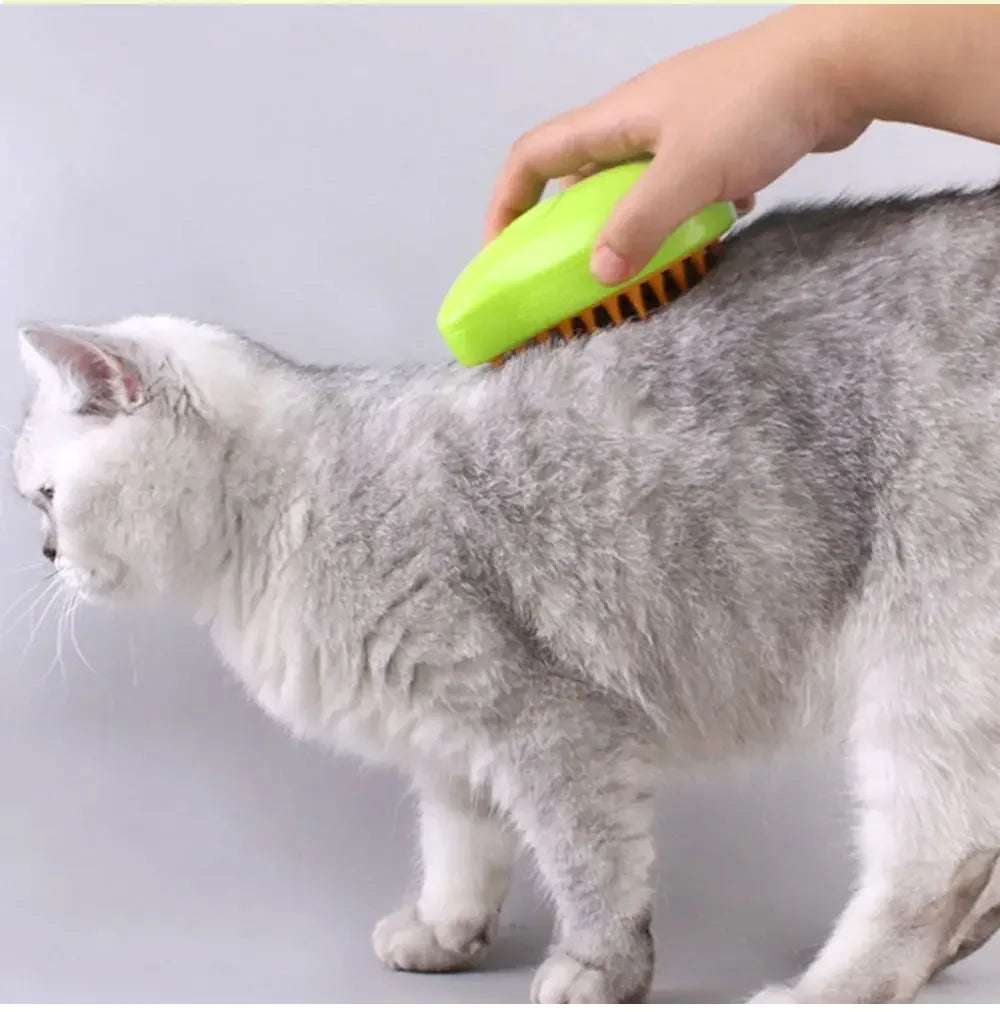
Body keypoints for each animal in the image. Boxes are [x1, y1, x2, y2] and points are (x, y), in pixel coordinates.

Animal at [15, 184, 1000, 1003]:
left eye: (46, 495)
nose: (47, 552)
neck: (279, 508)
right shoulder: (451, 741)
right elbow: (459, 851)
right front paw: (444, 935)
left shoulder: (550, 726)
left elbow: (589, 868)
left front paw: (596, 970)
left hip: (924, 673)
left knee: (937, 863)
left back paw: (829, 989)